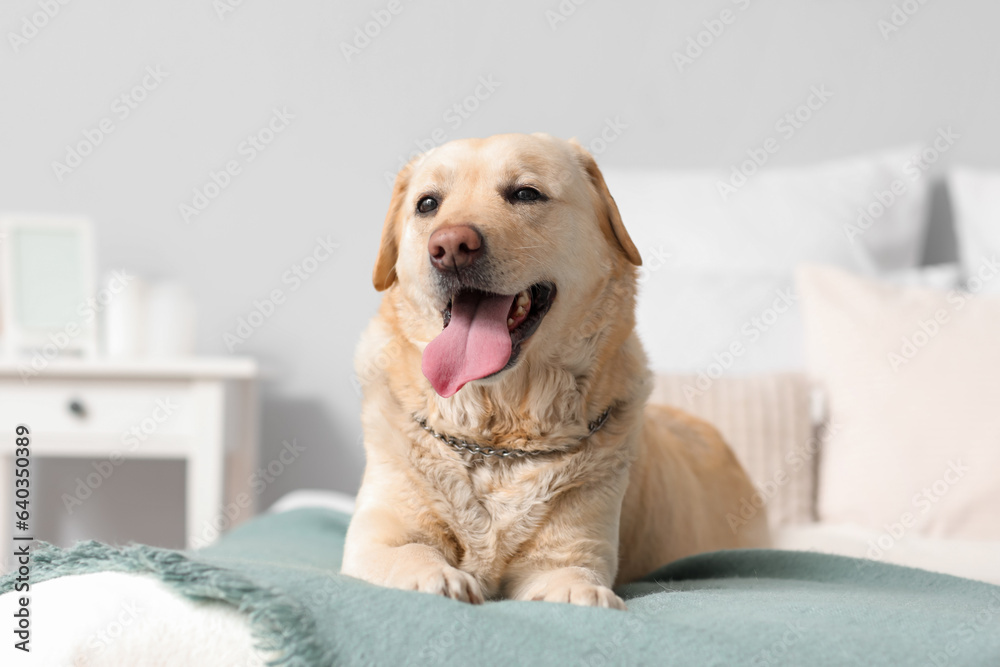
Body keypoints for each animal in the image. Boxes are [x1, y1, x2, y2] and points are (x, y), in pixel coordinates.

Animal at [340, 133, 768, 608]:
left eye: (526, 193)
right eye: (427, 203)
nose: (450, 246)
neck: (496, 441)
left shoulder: (569, 554)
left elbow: (572, 580)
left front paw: (581, 596)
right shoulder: (377, 540)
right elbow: (411, 552)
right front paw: (438, 578)